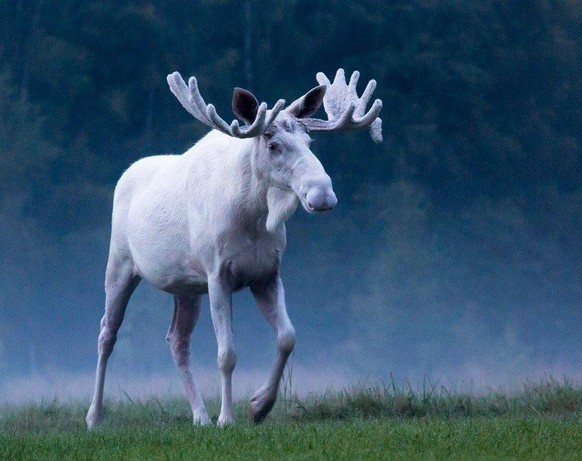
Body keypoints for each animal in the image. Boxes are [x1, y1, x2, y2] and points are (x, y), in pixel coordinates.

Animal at [85, 66, 384, 426]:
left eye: (309, 141)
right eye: (273, 144)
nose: (322, 193)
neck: (252, 217)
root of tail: (125, 174)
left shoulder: (266, 274)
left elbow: (287, 337)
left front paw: (259, 405)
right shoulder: (218, 274)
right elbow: (226, 354)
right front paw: (227, 418)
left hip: (186, 286)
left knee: (177, 339)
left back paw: (200, 415)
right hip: (120, 264)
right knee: (107, 333)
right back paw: (94, 416)